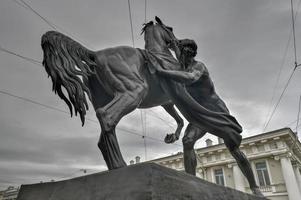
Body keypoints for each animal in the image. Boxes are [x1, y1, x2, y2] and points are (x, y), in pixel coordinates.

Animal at [41, 16, 182, 169]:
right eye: (171, 28)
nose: (177, 43)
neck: (161, 55)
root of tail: (95, 54)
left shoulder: (167, 102)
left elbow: (180, 120)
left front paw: (172, 137)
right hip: (134, 92)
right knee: (106, 116)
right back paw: (119, 163)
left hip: (108, 99)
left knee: (102, 136)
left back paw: (115, 164)